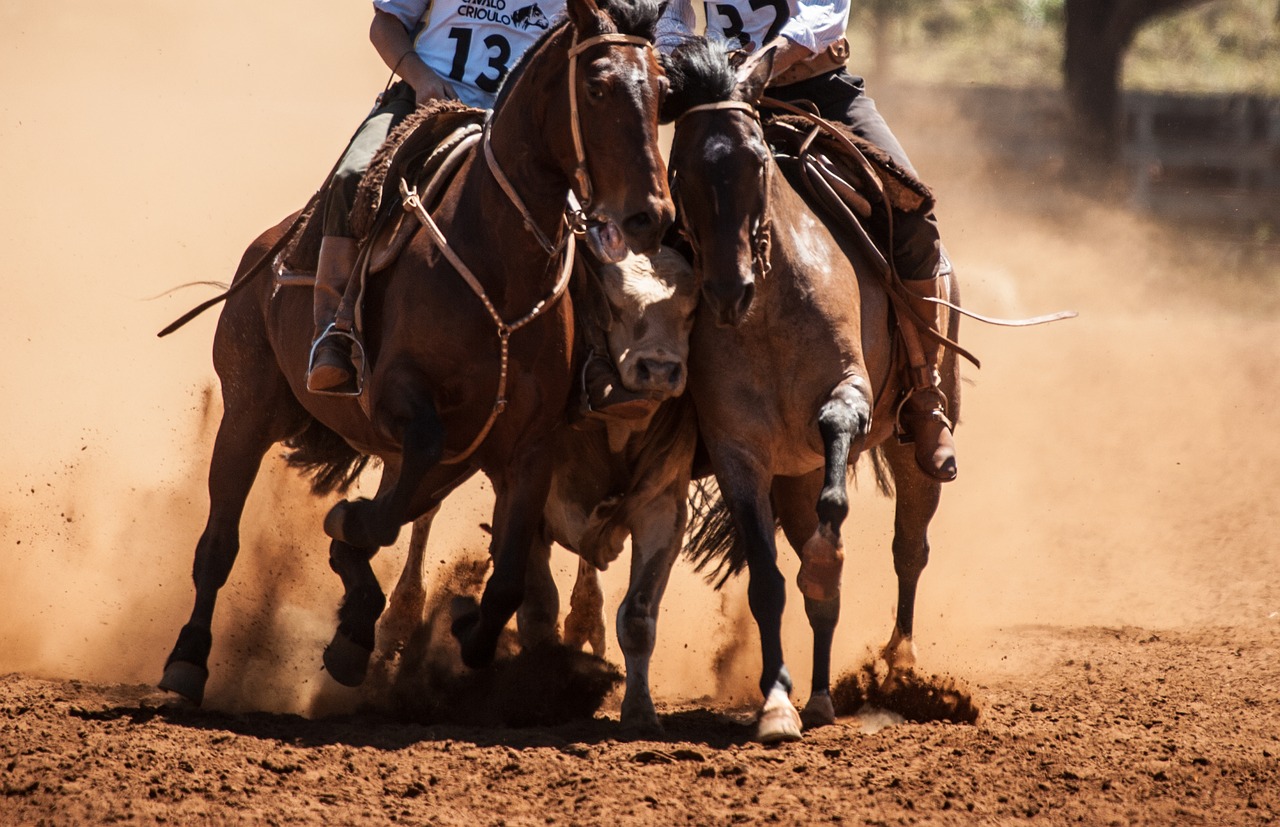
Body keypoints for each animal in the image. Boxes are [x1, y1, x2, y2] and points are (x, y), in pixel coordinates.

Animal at [158, 0, 670, 706]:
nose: (652, 214)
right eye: (596, 87)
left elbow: (505, 578)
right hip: (248, 410)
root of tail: (269, 249)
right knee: (218, 543)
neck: (498, 259)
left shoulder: (528, 447)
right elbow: (384, 509)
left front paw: (464, 632)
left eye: (663, 89)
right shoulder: (401, 401)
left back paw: (356, 630)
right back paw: (187, 658)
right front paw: (350, 532)